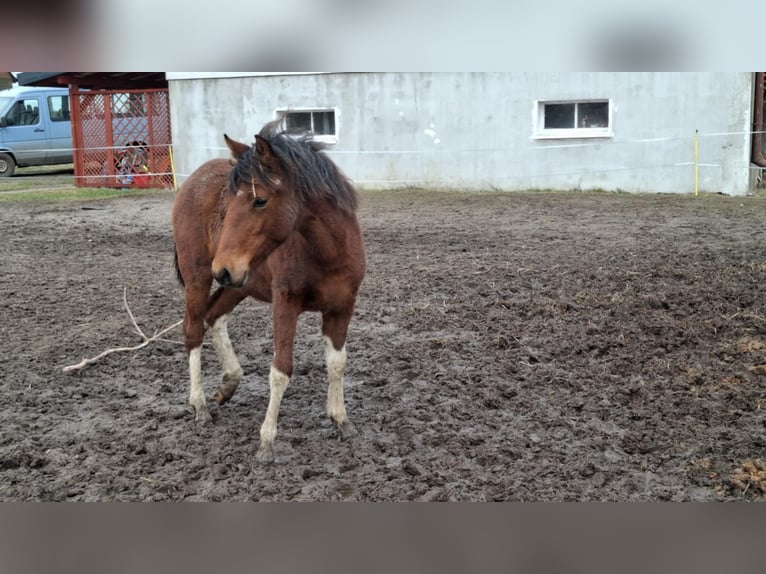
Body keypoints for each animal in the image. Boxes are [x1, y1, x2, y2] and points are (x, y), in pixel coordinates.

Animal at [172, 119, 368, 466]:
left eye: (259, 200)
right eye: (230, 202)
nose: (222, 267)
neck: (327, 252)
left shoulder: (342, 307)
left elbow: (337, 363)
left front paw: (342, 422)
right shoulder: (284, 304)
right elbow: (281, 370)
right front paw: (267, 441)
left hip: (239, 283)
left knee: (214, 317)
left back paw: (229, 383)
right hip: (200, 278)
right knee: (193, 329)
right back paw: (200, 405)